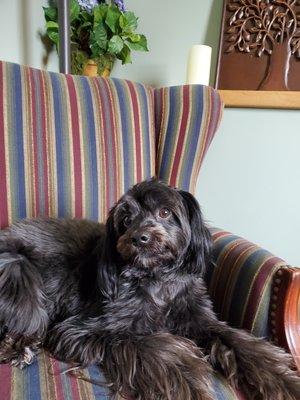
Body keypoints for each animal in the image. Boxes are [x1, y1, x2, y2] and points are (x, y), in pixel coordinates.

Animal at [0, 180, 300, 398]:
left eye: (165, 212)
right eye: (125, 219)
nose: (139, 238)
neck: (156, 280)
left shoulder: (200, 320)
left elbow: (242, 343)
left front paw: (285, 381)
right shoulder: (81, 329)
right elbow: (155, 346)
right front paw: (190, 381)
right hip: (18, 268)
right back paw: (19, 347)